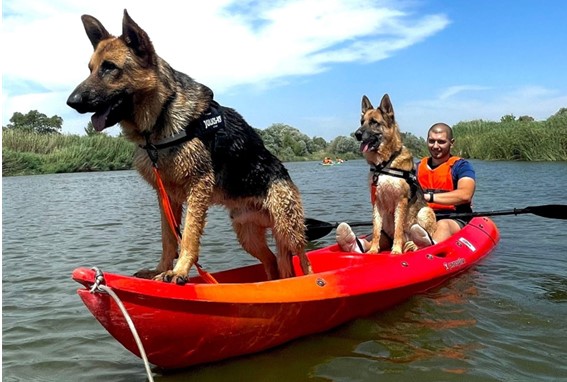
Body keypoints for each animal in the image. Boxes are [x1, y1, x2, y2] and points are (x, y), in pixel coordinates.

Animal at [70, 9, 316, 284]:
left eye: (110, 67)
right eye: (90, 69)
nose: (71, 101)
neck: (160, 117)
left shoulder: (198, 186)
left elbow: (188, 233)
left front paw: (179, 271)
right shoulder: (166, 197)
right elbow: (168, 238)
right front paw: (160, 269)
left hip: (287, 229)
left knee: (303, 262)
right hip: (248, 235)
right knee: (273, 261)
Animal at [356, 93, 440, 254]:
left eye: (374, 122)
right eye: (362, 122)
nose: (356, 134)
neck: (385, 164)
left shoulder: (400, 201)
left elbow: (398, 229)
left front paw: (395, 251)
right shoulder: (377, 203)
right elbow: (376, 230)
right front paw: (373, 250)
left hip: (424, 212)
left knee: (429, 239)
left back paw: (416, 244)